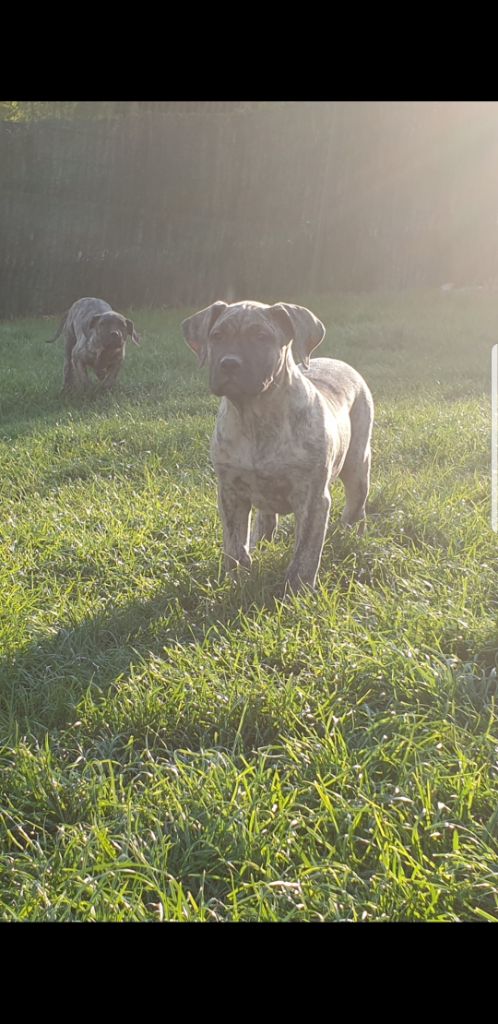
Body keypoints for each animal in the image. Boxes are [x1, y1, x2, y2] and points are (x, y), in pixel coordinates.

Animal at [182, 300, 374, 592]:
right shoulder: (230, 492)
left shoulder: (313, 499)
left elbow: (305, 554)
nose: (229, 364)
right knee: (266, 518)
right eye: (216, 336)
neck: (254, 414)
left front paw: (297, 592)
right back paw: (261, 543)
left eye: (262, 337)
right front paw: (236, 581)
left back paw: (351, 537)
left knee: (356, 506)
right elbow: (234, 545)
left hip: (357, 464)